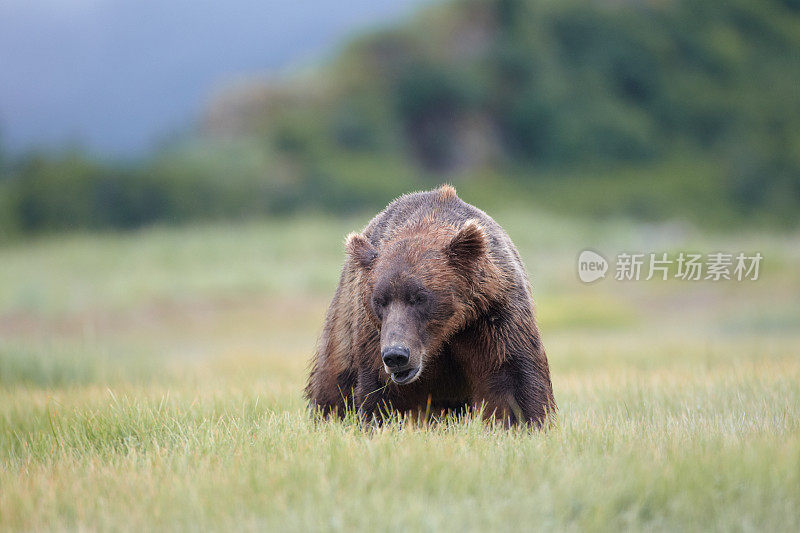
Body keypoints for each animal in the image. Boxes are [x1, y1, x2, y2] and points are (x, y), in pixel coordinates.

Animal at [306, 185, 556, 426]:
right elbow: (380, 390)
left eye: (419, 297)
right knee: (334, 385)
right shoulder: (373, 334)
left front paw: (527, 422)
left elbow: (513, 376)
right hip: (343, 326)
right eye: (379, 301)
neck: (445, 334)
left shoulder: (493, 313)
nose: (396, 355)